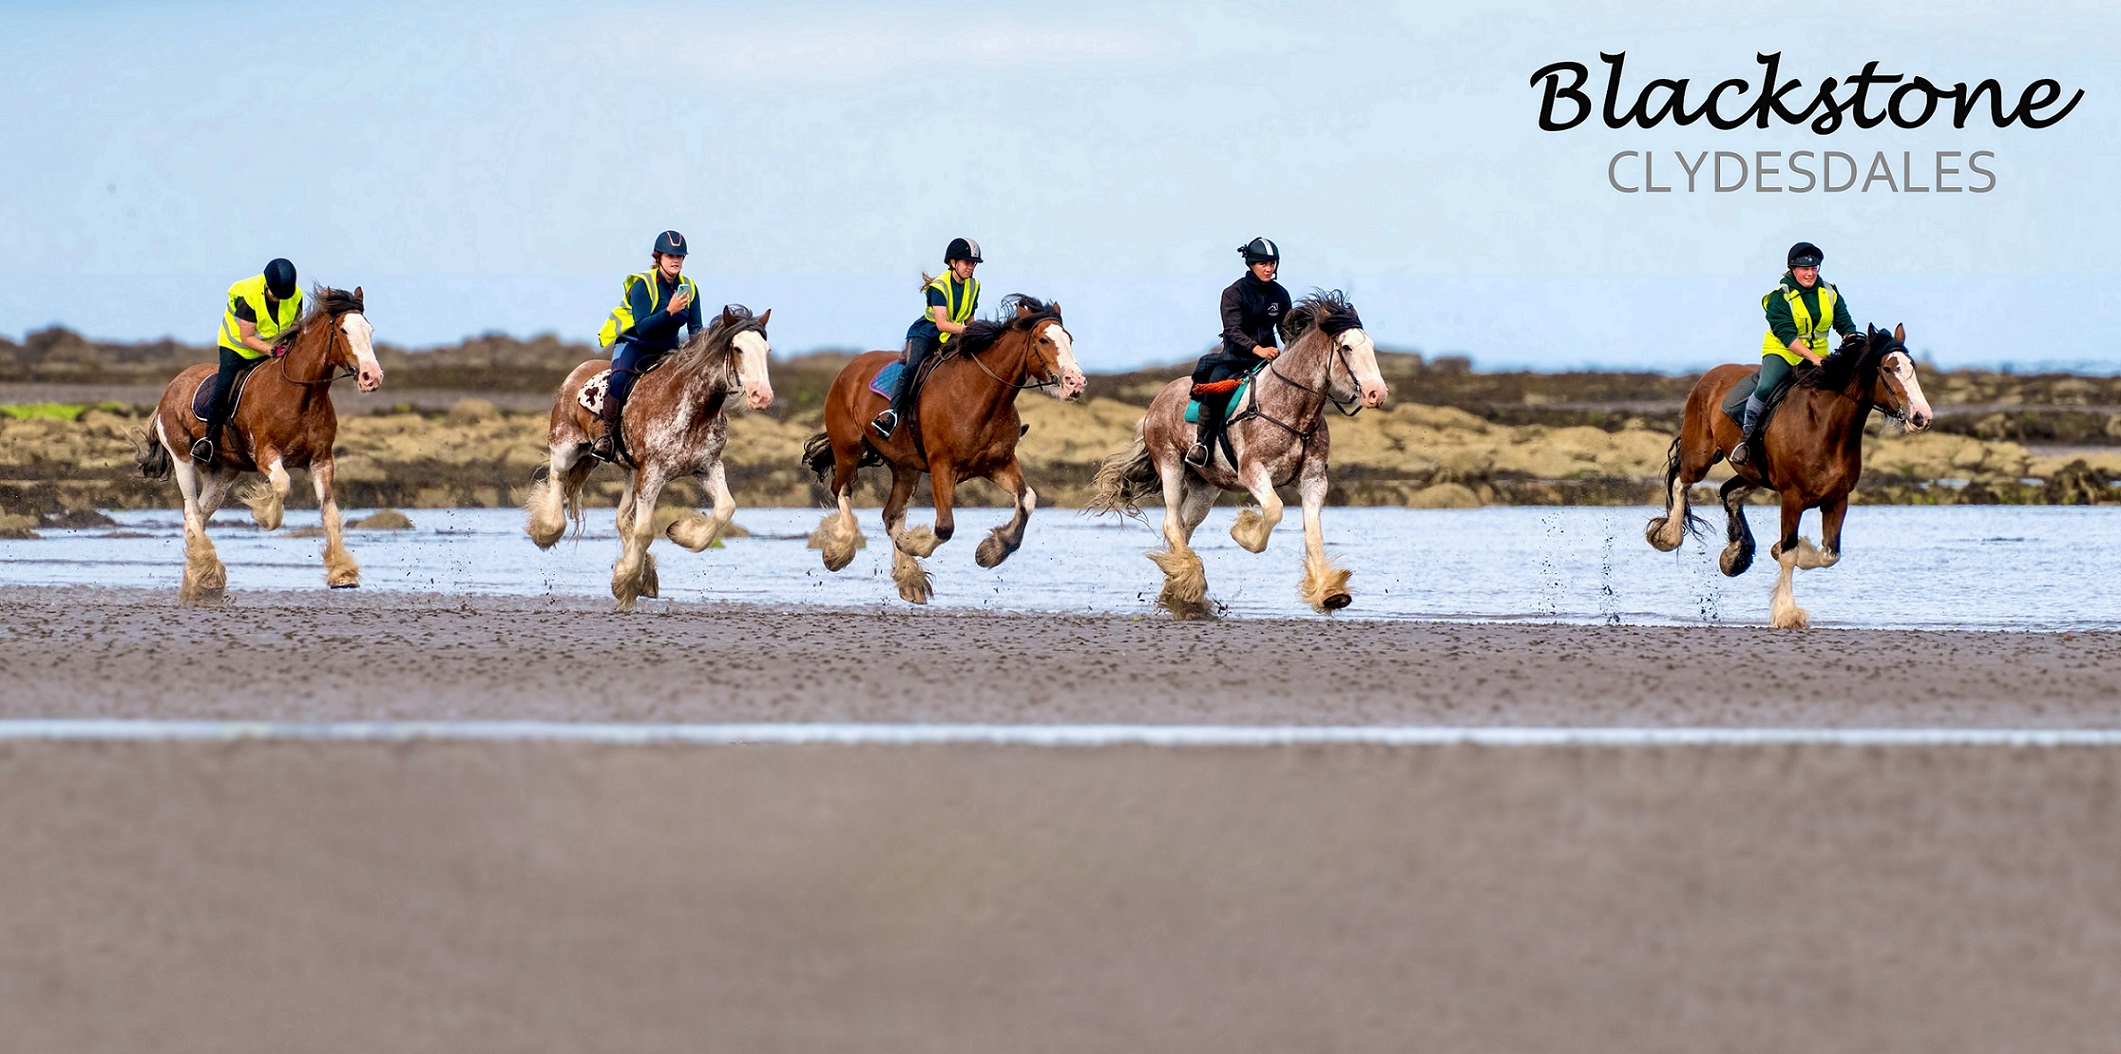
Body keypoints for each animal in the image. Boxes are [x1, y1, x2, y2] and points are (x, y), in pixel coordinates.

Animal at [131, 284, 386, 602]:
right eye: (343, 330)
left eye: (370, 329)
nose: (371, 377)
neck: (299, 395)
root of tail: (172, 387)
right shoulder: (266, 454)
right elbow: (282, 484)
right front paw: (264, 514)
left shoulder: (321, 461)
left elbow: (329, 513)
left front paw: (342, 572)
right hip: (183, 458)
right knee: (191, 510)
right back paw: (209, 573)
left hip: (221, 473)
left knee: (198, 516)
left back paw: (200, 573)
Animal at [523, 305, 780, 606]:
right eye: (738, 349)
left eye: (766, 349)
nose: (761, 395)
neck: (693, 411)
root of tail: (578, 371)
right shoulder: (653, 473)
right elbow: (645, 531)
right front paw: (625, 584)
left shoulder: (707, 466)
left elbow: (725, 508)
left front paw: (681, 534)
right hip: (566, 447)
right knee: (558, 479)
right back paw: (546, 531)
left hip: (631, 471)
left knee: (622, 518)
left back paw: (644, 574)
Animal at [797, 296, 1085, 602]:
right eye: (1044, 340)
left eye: (1069, 339)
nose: (1076, 382)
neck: (978, 395)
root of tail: (850, 369)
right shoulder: (942, 466)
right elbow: (945, 526)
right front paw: (915, 543)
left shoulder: (998, 464)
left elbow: (1027, 499)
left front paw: (991, 551)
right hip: (848, 447)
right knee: (841, 489)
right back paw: (839, 551)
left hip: (905, 467)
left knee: (891, 515)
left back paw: (910, 579)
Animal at [1085, 290, 1399, 615]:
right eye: (1346, 347)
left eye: (1371, 345)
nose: (1377, 393)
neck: (1292, 410)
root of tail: (1157, 402)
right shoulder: (1252, 471)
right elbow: (1273, 509)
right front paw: (1244, 530)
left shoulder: (1314, 480)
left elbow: (1313, 534)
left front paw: (1330, 592)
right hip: (1170, 466)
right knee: (1171, 521)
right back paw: (1188, 582)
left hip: (1205, 488)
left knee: (1184, 526)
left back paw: (1179, 586)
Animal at [1637, 322, 1942, 623]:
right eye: (1888, 369)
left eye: (1912, 365)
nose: (1922, 416)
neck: (1823, 426)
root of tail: (1711, 375)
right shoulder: (1792, 499)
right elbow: (1788, 554)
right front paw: (1787, 612)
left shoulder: (1837, 499)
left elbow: (1829, 554)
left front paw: (1779, 552)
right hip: (1700, 456)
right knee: (1682, 482)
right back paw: (1668, 537)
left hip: (1753, 474)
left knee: (1729, 493)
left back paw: (1734, 556)